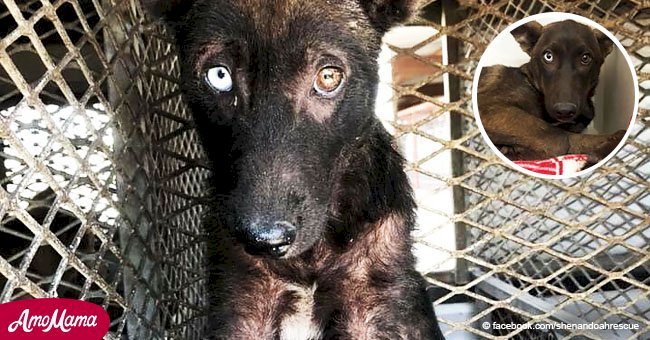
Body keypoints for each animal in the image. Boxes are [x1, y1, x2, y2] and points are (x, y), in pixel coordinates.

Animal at [144, 0, 442, 338]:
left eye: (328, 77)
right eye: (219, 75)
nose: (265, 240)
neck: (309, 258)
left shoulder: (371, 300)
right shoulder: (245, 300)